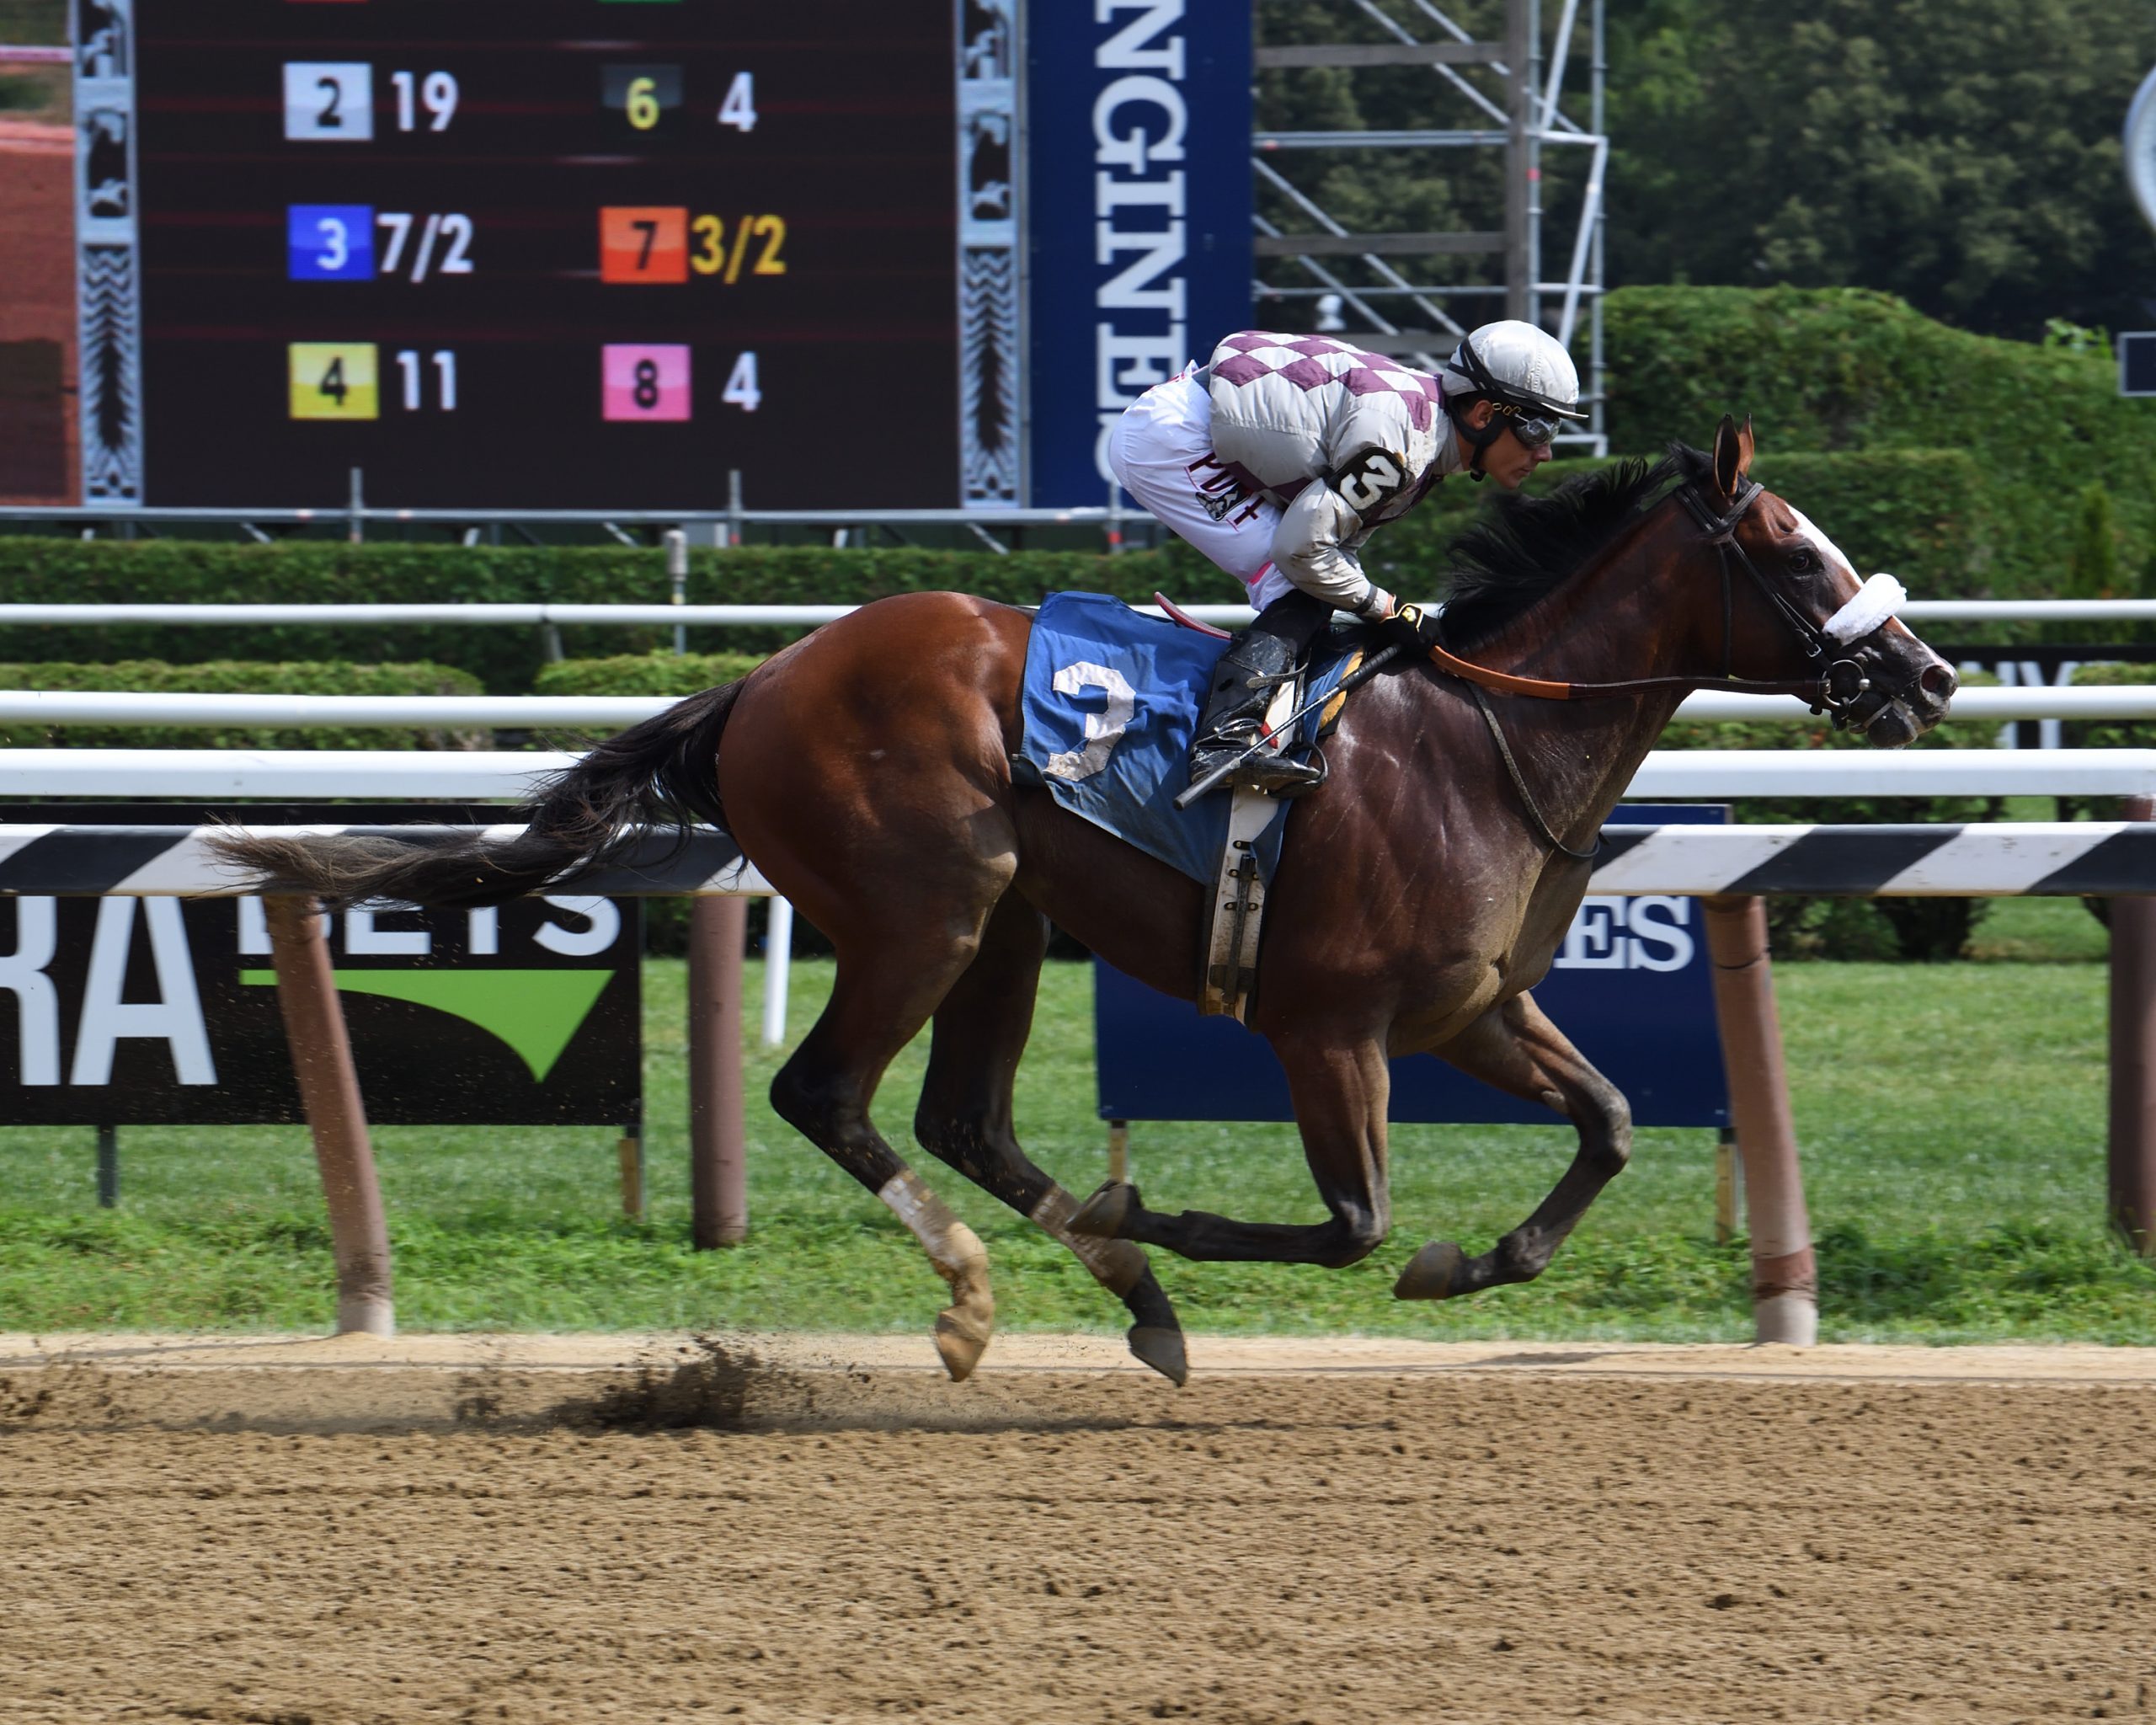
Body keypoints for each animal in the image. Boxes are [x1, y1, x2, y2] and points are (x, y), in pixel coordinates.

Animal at [214, 418, 1957, 1388]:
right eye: (1795, 549)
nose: (1927, 672)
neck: (1484, 740)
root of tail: (763, 678)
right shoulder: (1331, 1027)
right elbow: (1351, 1221)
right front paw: (1176, 1216)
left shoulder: (1471, 1009)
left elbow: (1604, 1122)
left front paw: (1473, 1262)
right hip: (928, 902)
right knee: (826, 1092)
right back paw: (991, 1293)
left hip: (1010, 920)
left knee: (967, 1116)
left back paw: (1127, 1297)